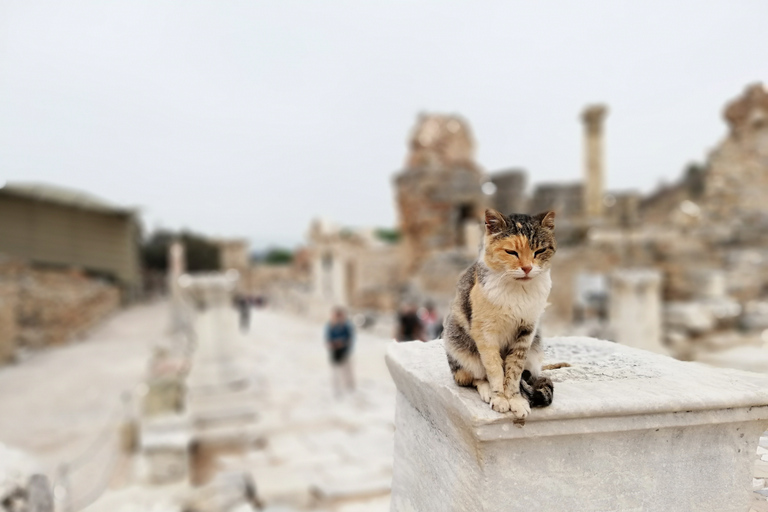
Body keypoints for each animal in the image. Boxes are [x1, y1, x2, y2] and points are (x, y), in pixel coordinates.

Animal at [440, 208, 560, 420]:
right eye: (511, 252)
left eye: (539, 251)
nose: (527, 268)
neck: (518, 291)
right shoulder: (485, 333)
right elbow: (494, 368)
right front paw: (499, 398)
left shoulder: (526, 332)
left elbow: (514, 370)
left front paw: (515, 400)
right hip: (460, 347)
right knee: (474, 377)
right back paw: (487, 390)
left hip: (535, 349)